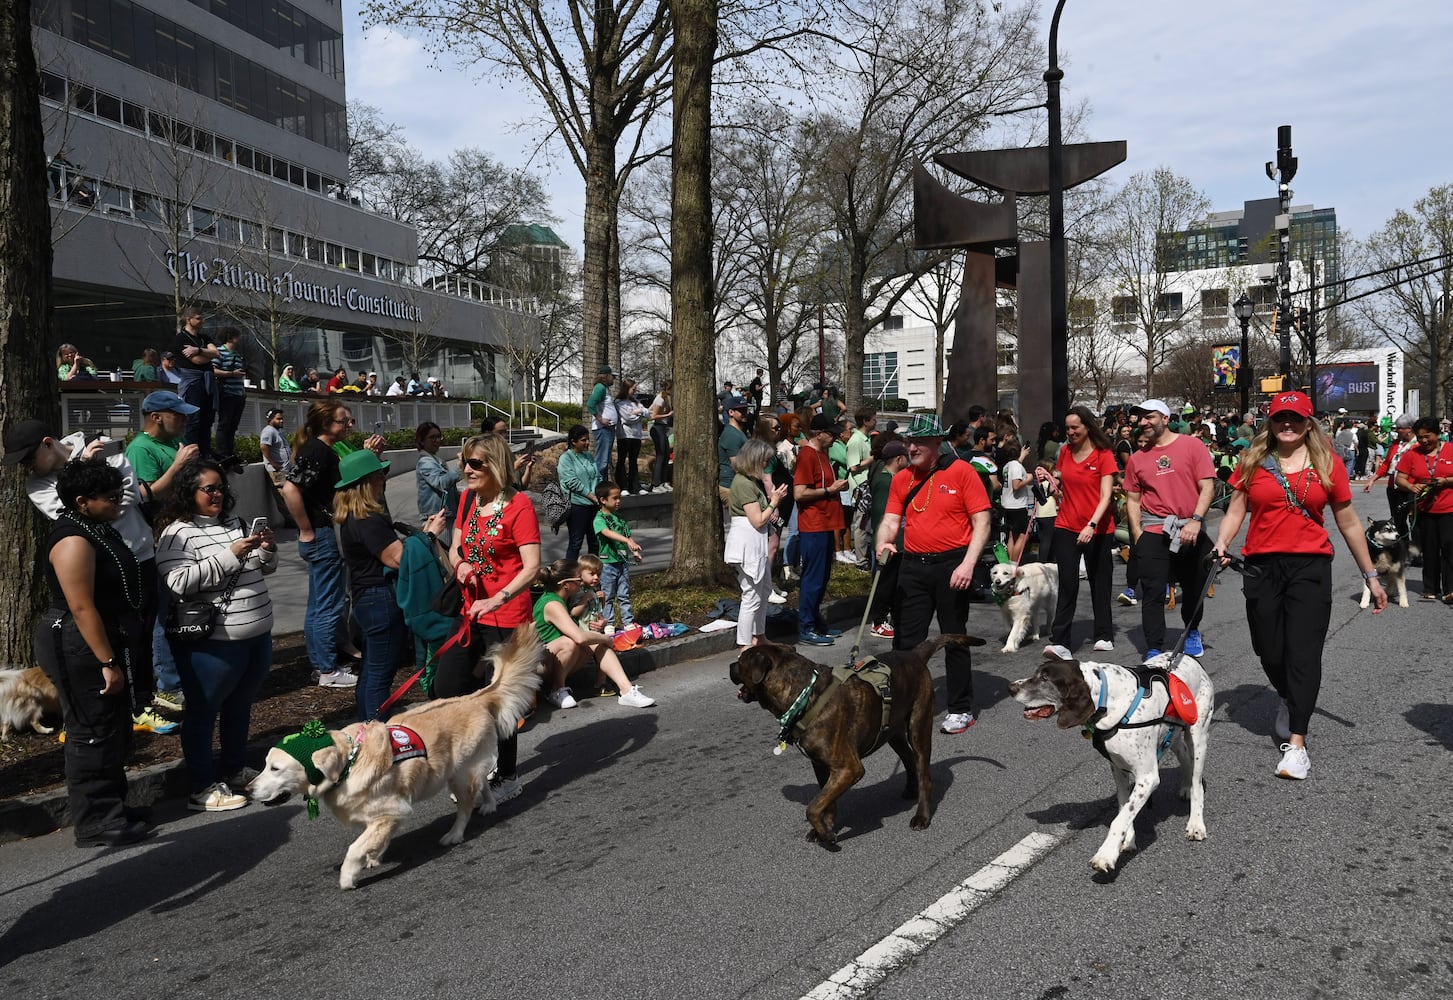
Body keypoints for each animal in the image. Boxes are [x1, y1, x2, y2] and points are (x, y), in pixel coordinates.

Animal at [249, 625, 546, 889]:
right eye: (264, 765)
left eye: (275, 768)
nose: (248, 789)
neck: (350, 762)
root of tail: (474, 697)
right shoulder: (381, 816)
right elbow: (374, 840)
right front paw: (373, 857)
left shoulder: (392, 809)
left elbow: (355, 848)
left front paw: (348, 876)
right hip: (464, 769)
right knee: (482, 782)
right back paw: (489, 804)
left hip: (461, 774)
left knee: (464, 806)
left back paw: (455, 833)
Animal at [732, 636, 982, 848]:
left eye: (741, 662)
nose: (730, 667)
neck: (805, 694)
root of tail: (914, 655)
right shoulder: (821, 765)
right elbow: (826, 801)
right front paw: (826, 827)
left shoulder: (848, 769)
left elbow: (813, 807)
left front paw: (826, 835)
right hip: (892, 732)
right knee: (909, 759)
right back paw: (911, 789)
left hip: (918, 726)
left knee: (924, 772)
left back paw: (922, 815)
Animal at [1011, 651, 1214, 872]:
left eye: (1045, 678)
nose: (1011, 688)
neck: (1106, 700)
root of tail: (1189, 656)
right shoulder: (1117, 768)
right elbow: (1124, 807)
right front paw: (1127, 840)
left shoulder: (1147, 777)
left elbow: (1119, 819)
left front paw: (1106, 854)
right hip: (1174, 735)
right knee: (1184, 758)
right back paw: (1185, 787)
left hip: (1198, 735)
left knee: (1197, 782)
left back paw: (1195, 823)